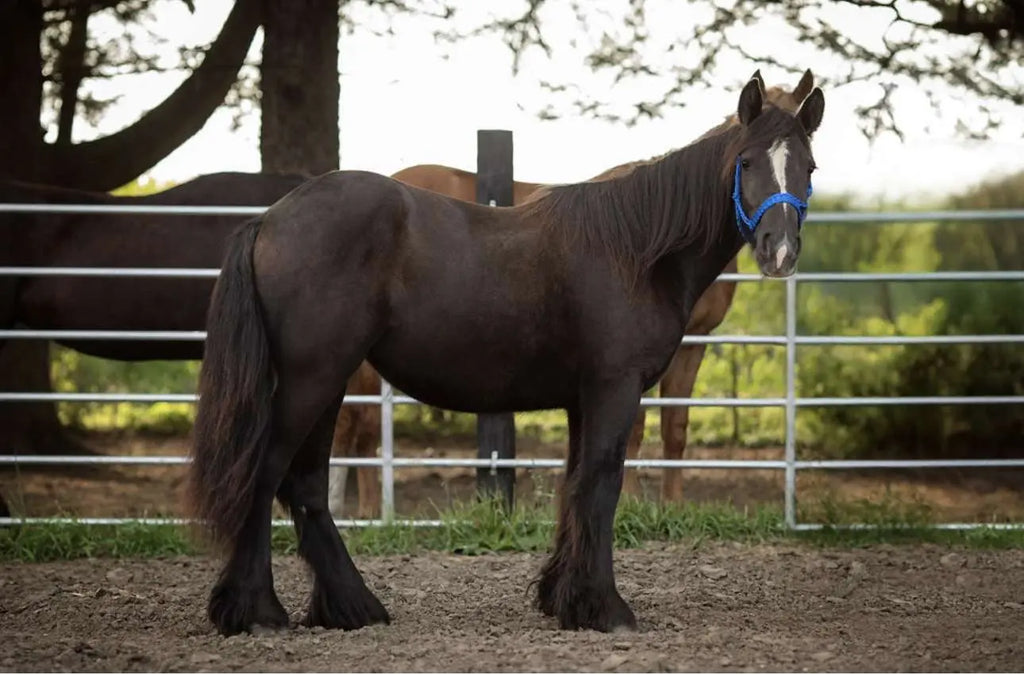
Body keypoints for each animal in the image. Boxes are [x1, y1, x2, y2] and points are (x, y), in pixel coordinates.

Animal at [328, 69, 818, 518]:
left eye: (809, 165)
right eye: (747, 162)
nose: (780, 248)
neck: (656, 237)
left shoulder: (695, 341)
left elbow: (675, 426)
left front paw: (672, 506)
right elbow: (635, 430)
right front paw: (630, 505)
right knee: (359, 423)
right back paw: (364, 511)